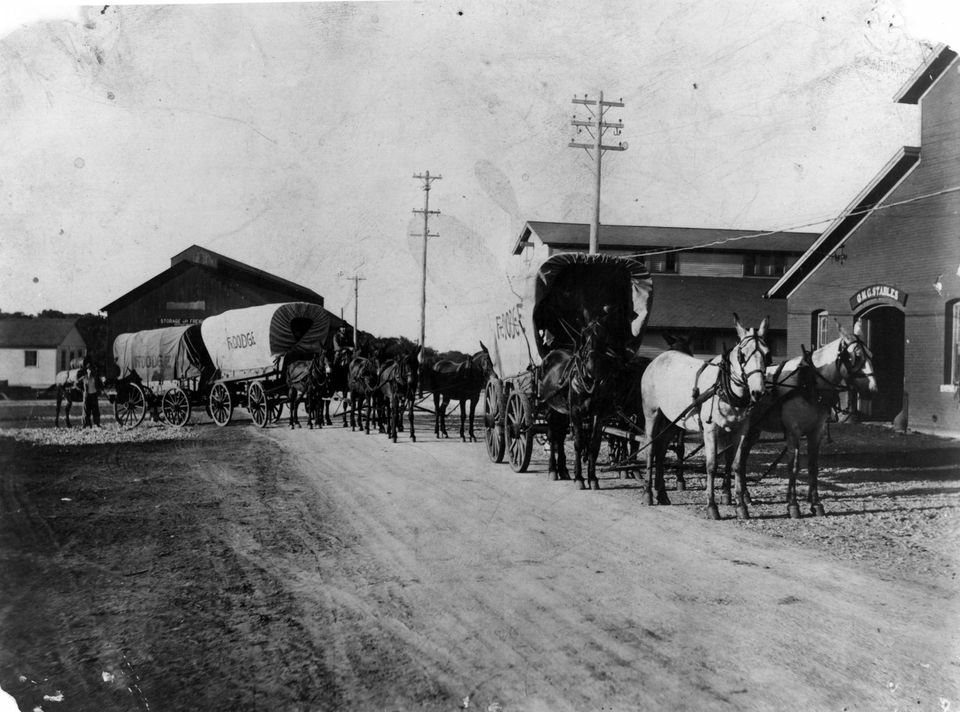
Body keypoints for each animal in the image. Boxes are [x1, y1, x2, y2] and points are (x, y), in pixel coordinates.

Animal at [640, 314, 768, 520]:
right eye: (742, 355)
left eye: (767, 353)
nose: (758, 392)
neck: (724, 386)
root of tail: (658, 359)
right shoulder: (710, 429)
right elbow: (712, 465)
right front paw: (712, 506)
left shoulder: (741, 430)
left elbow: (737, 465)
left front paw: (741, 507)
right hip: (651, 413)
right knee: (651, 448)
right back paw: (647, 494)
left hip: (673, 420)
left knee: (661, 448)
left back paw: (662, 494)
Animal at [728, 322, 876, 516]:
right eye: (857, 357)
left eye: (871, 355)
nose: (873, 389)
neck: (808, 383)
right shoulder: (793, 431)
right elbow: (794, 466)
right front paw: (793, 505)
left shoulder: (817, 431)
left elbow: (813, 466)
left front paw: (816, 503)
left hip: (753, 430)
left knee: (743, 458)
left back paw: (745, 496)